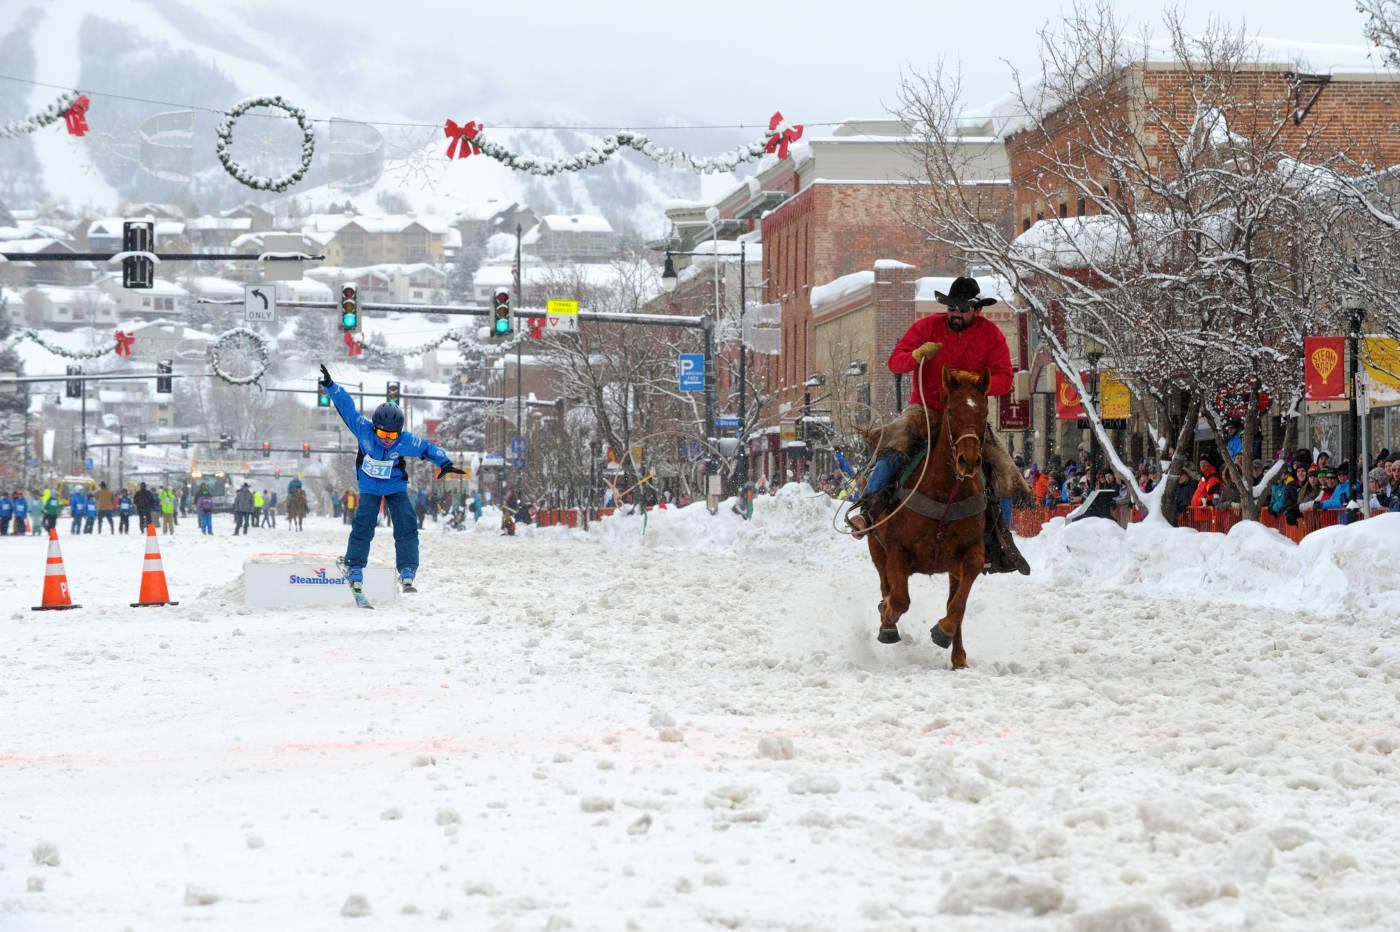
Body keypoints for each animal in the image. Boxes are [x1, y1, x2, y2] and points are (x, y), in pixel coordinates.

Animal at [868, 363, 991, 668]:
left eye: (984, 412)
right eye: (951, 411)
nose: (968, 460)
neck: (946, 493)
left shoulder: (971, 551)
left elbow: (958, 603)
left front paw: (944, 631)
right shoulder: (896, 550)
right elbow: (899, 599)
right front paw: (887, 621)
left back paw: (958, 656)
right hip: (875, 546)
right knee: (885, 584)